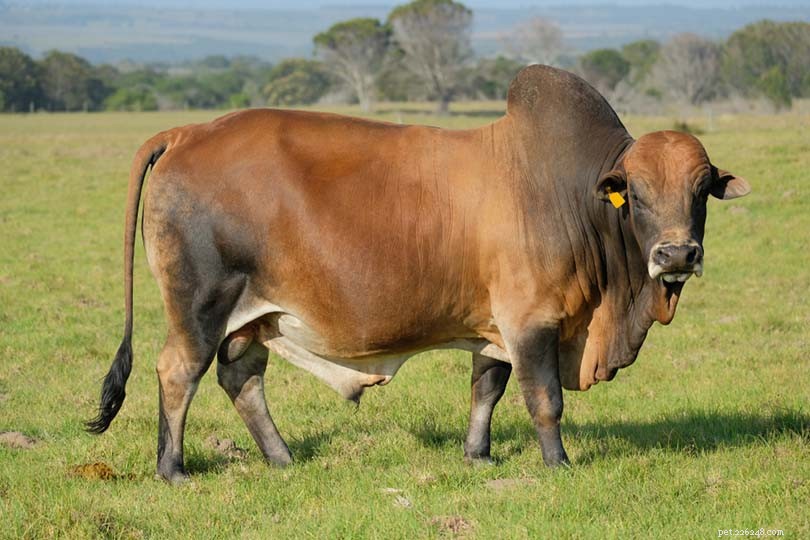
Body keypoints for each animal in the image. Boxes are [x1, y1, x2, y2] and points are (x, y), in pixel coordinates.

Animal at [87, 65, 750, 483]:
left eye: (701, 190)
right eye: (634, 194)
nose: (676, 255)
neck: (571, 192)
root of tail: (187, 131)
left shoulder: (495, 326)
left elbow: (487, 388)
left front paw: (478, 456)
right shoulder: (531, 320)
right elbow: (544, 399)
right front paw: (557, 463)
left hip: (254, 315)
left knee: (241, 379)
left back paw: (282, 460)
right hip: (200, 305)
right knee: (179, 373)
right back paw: (173, 469)